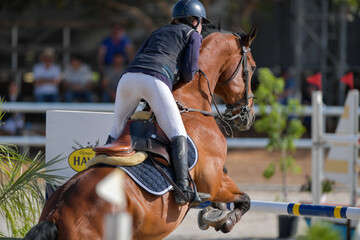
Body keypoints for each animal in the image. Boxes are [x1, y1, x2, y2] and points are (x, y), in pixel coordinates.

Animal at [23, 24, 258, 240]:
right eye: (253, 67)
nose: (248, 116)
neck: (190, 102)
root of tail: (55, 213)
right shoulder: (214, 181)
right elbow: (245, 199)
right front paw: (224, 219)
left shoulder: (217, 179)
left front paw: (215, 214)